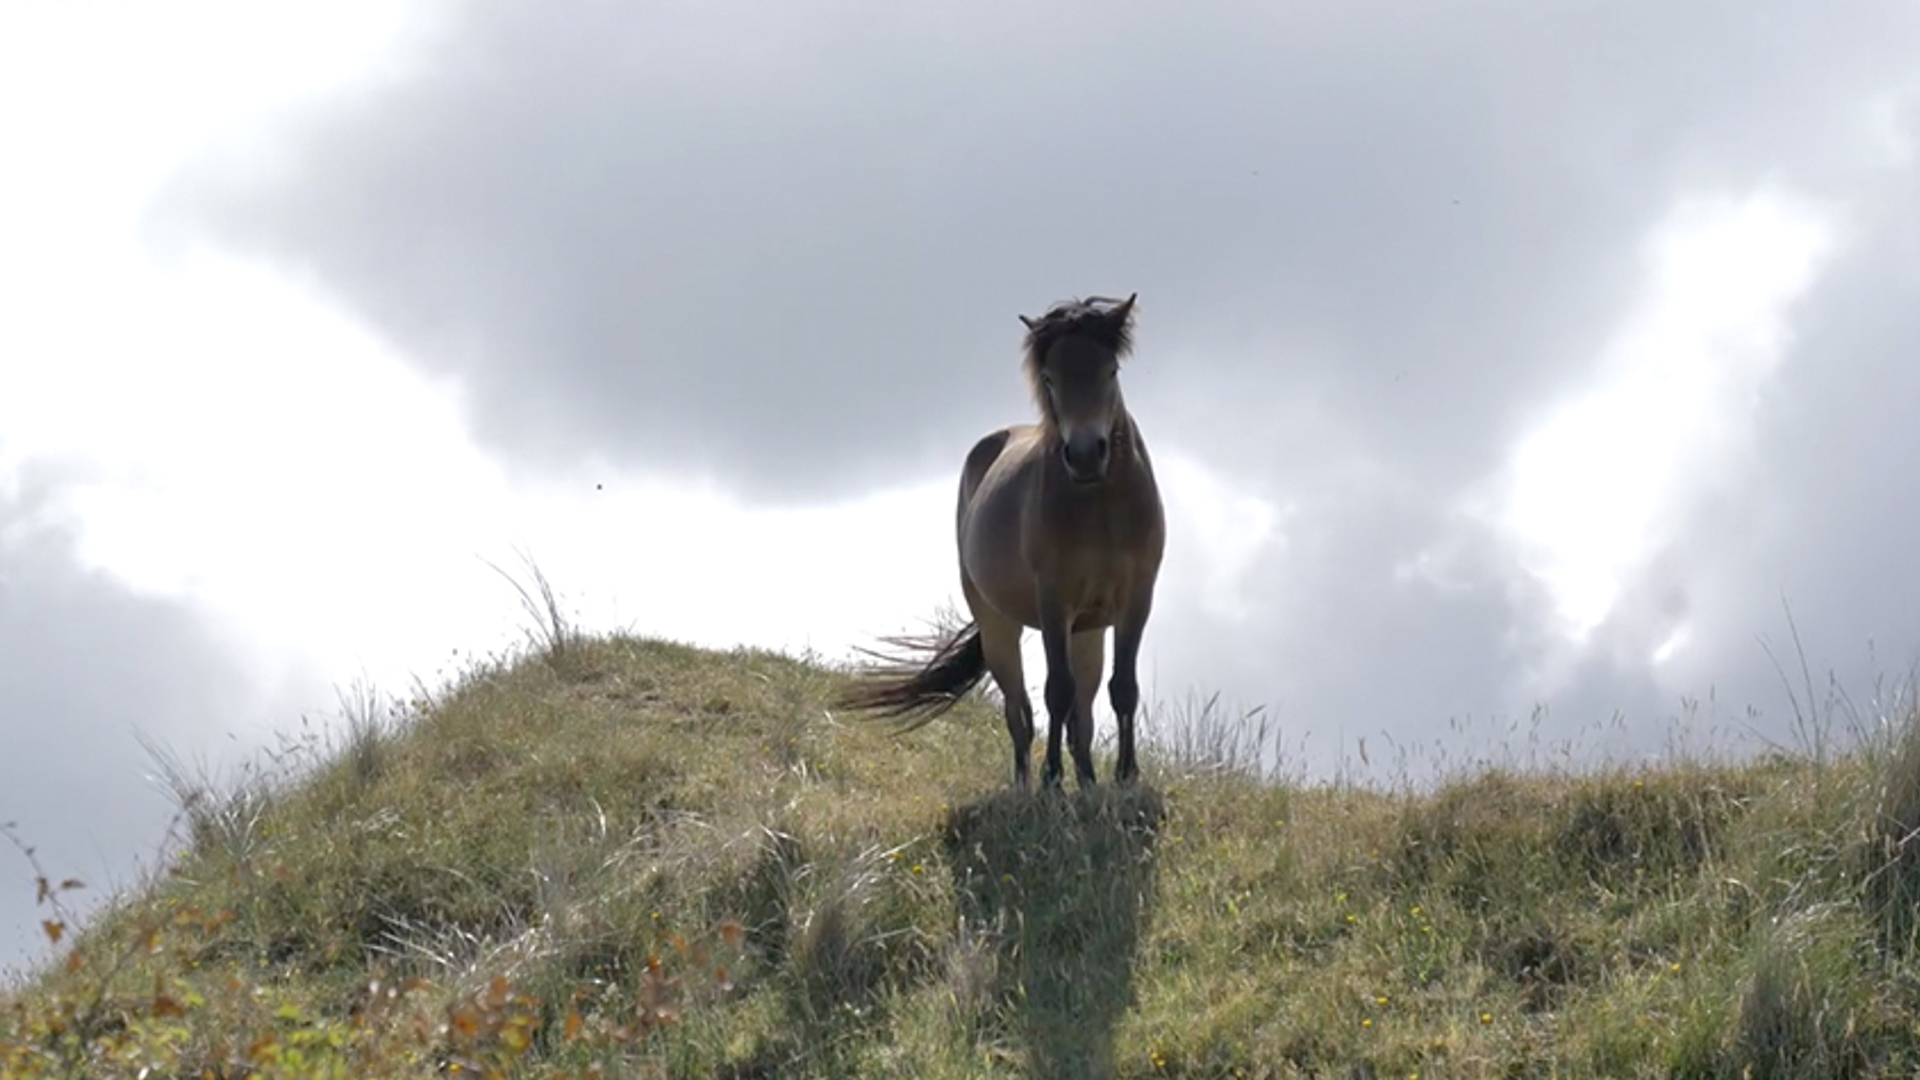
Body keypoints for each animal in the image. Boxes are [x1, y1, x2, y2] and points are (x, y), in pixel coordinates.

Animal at [839, 294, 1166, 789]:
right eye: (1050, 378)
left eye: (1110, 371)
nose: (1085, 454)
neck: (1100, 508)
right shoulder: (1052, 602)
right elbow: (1057, 690)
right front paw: (1051, 779)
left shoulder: (1135, 600)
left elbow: (1121, 689)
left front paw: (1126, 778)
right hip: (1000, 627)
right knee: (1021, 712)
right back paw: (1027, 784)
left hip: (1088, 631)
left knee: (1083, 716)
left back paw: (1088, 782)